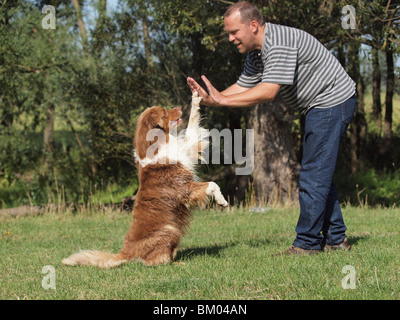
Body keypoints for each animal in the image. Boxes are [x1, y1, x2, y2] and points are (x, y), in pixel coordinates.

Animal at [61, 92, 227, 268]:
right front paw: (222, 201)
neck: (157, 142)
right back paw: (178, 263)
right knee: (153, 261)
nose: (179, 107)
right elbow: (212, 184)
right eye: (165, 112)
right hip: (170, 229)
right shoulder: (185, 189)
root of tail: (124, 253)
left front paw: (196, 98)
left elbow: (192, 126)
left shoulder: (187, 149)